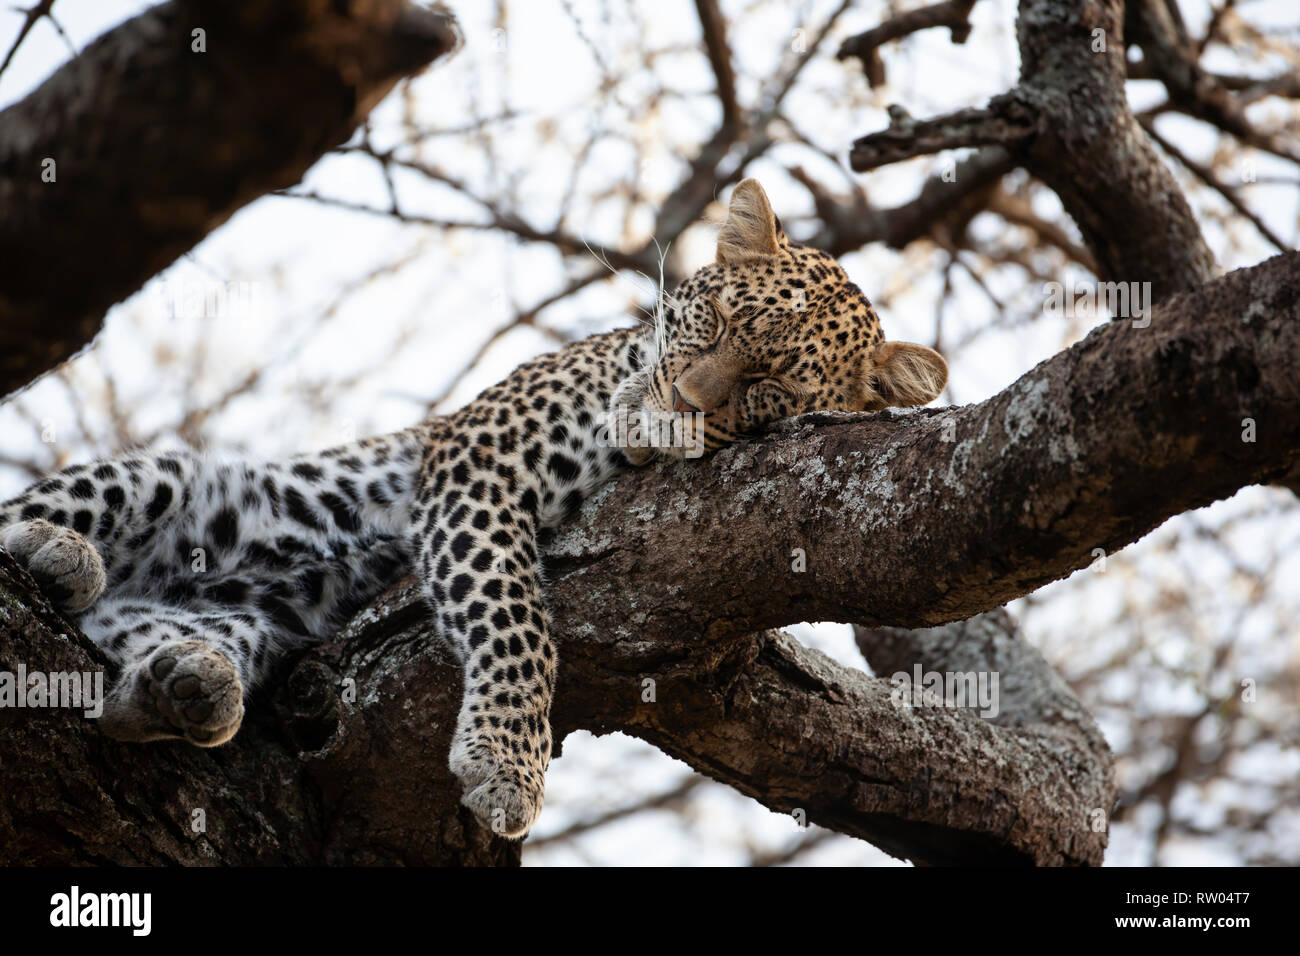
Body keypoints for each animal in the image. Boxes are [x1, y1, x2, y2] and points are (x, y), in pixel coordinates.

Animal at [0, 179, 946, 837]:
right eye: (711, 317)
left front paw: (502, 761)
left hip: (247, 618)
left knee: (144, 651)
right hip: (171, 477)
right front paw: (507, 765)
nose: (682, 398)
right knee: (39, 512)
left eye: (768, 388)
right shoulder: (473, 459)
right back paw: (55, 549)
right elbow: (519, 623)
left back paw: (181, 685)